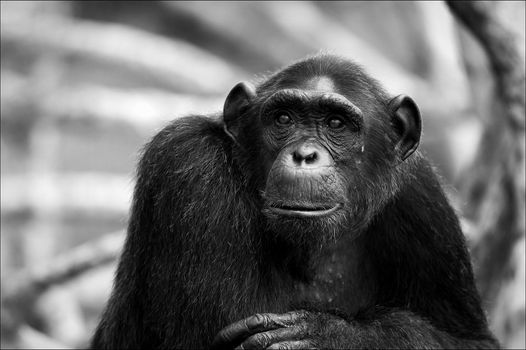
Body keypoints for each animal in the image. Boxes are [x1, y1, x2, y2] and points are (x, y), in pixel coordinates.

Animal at [91, 53, 500, 348]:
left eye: (336, 123)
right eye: (284, 118)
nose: (305, 154)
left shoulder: (422, 197)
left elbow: (471, 340)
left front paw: (330, 337)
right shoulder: (189, 166)